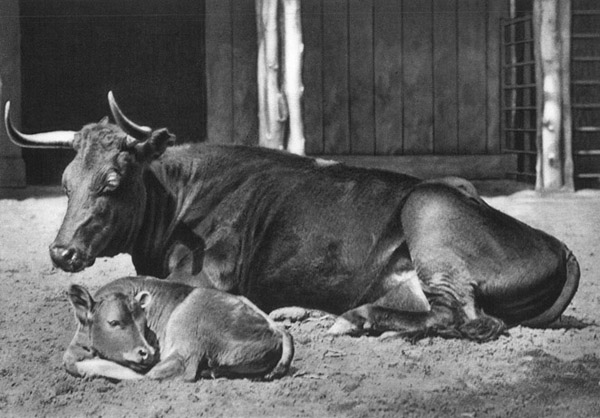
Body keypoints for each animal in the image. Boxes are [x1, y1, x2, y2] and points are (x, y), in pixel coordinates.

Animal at [2, 95, 580, 342]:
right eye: (66, 181)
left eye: (112, 181)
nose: (61, 251)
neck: (177, 203)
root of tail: (558, 245)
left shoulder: (211, 277)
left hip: (429, 210)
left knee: (464, 318)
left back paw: (353, 319)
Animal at [64, 276, 294, 380]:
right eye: (113, 322)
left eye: (143, 323)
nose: (147, 352)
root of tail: (277, 329)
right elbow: (69, 360)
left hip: (187, 332)